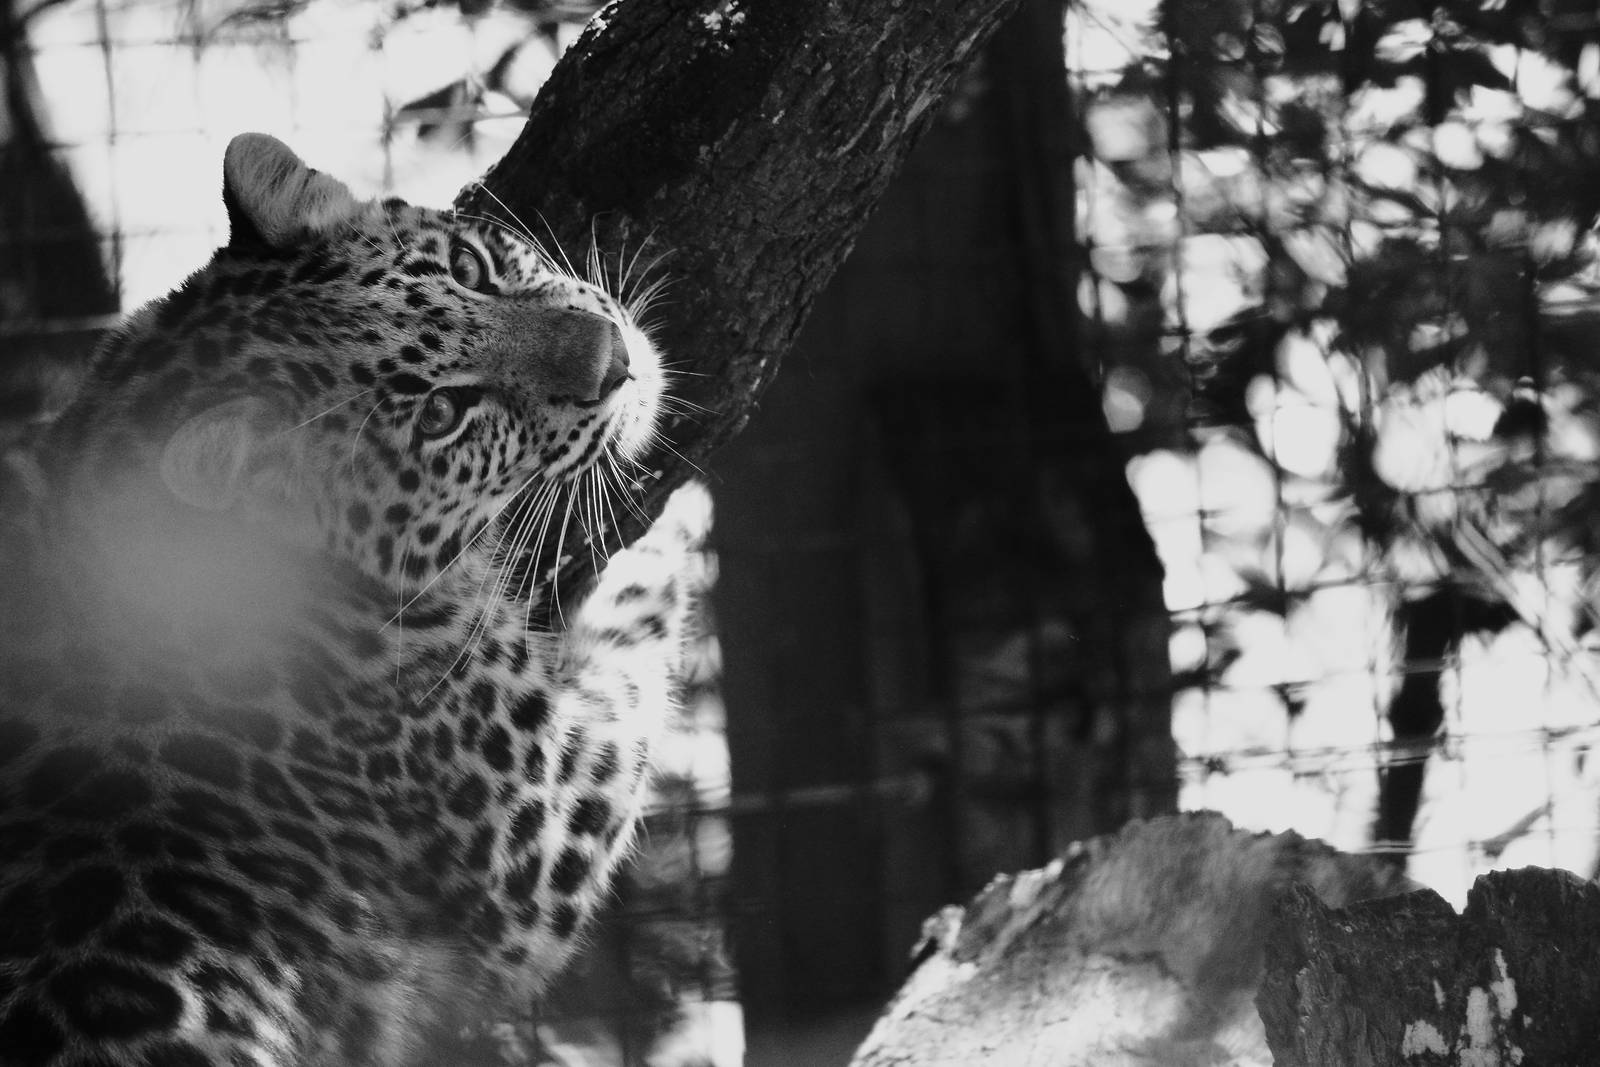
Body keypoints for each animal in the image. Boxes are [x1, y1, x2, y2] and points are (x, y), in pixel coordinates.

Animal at [0, 132, 706, 1066]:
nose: (617, 361)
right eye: (444, 413)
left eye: (471, 266)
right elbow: (631, 655)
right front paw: (687, 517)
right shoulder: (536, 841)